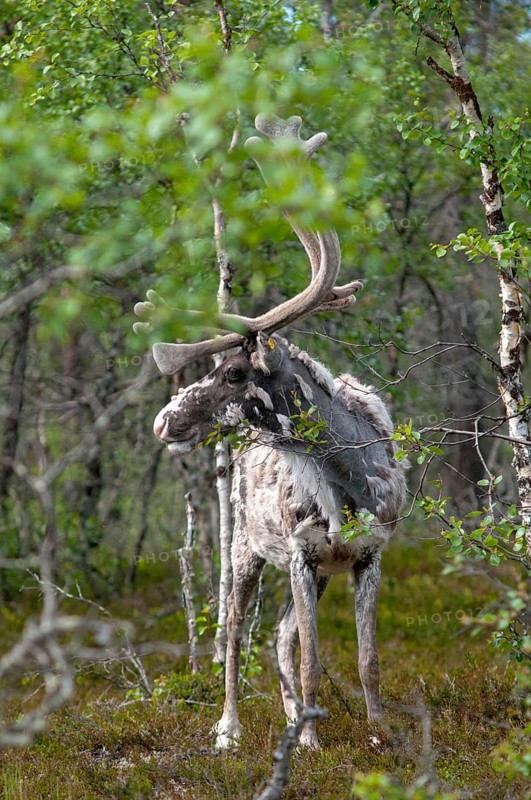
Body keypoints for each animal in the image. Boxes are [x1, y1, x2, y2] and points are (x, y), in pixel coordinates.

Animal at [135, 113, 406, 750]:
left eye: (234, 372)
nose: (163, 420)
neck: (350, 481)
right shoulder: (303, 554)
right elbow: (311, 657)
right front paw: (312, 743)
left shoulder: (368, 555)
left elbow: (366, 660)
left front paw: (380, 736)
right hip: (243, 548)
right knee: (234, 634)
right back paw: (230, 729)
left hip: (304, 566)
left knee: (278, 635)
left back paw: (288, 718)